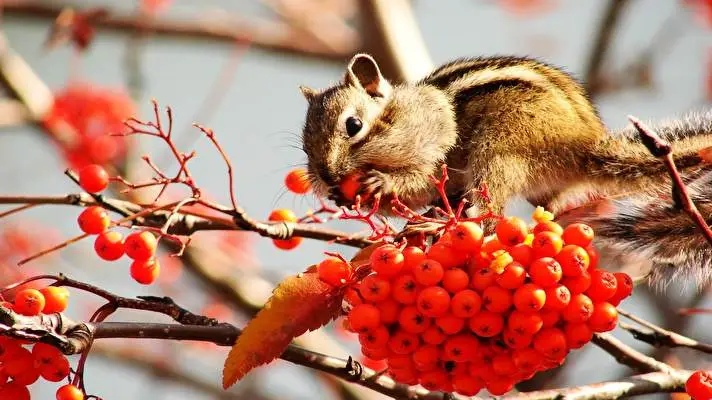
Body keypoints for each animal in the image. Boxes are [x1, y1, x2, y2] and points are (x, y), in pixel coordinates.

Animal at [299, 53, 712, 284]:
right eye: (304, 143)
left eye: (353, 125)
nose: (328, 176)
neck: (396, 114)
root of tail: (585, 148)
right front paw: (344, 194)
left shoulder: (434, 138)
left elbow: (421, 179)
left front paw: (381, 182)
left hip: (501, 148)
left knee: (490, 215)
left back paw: (441, 225)